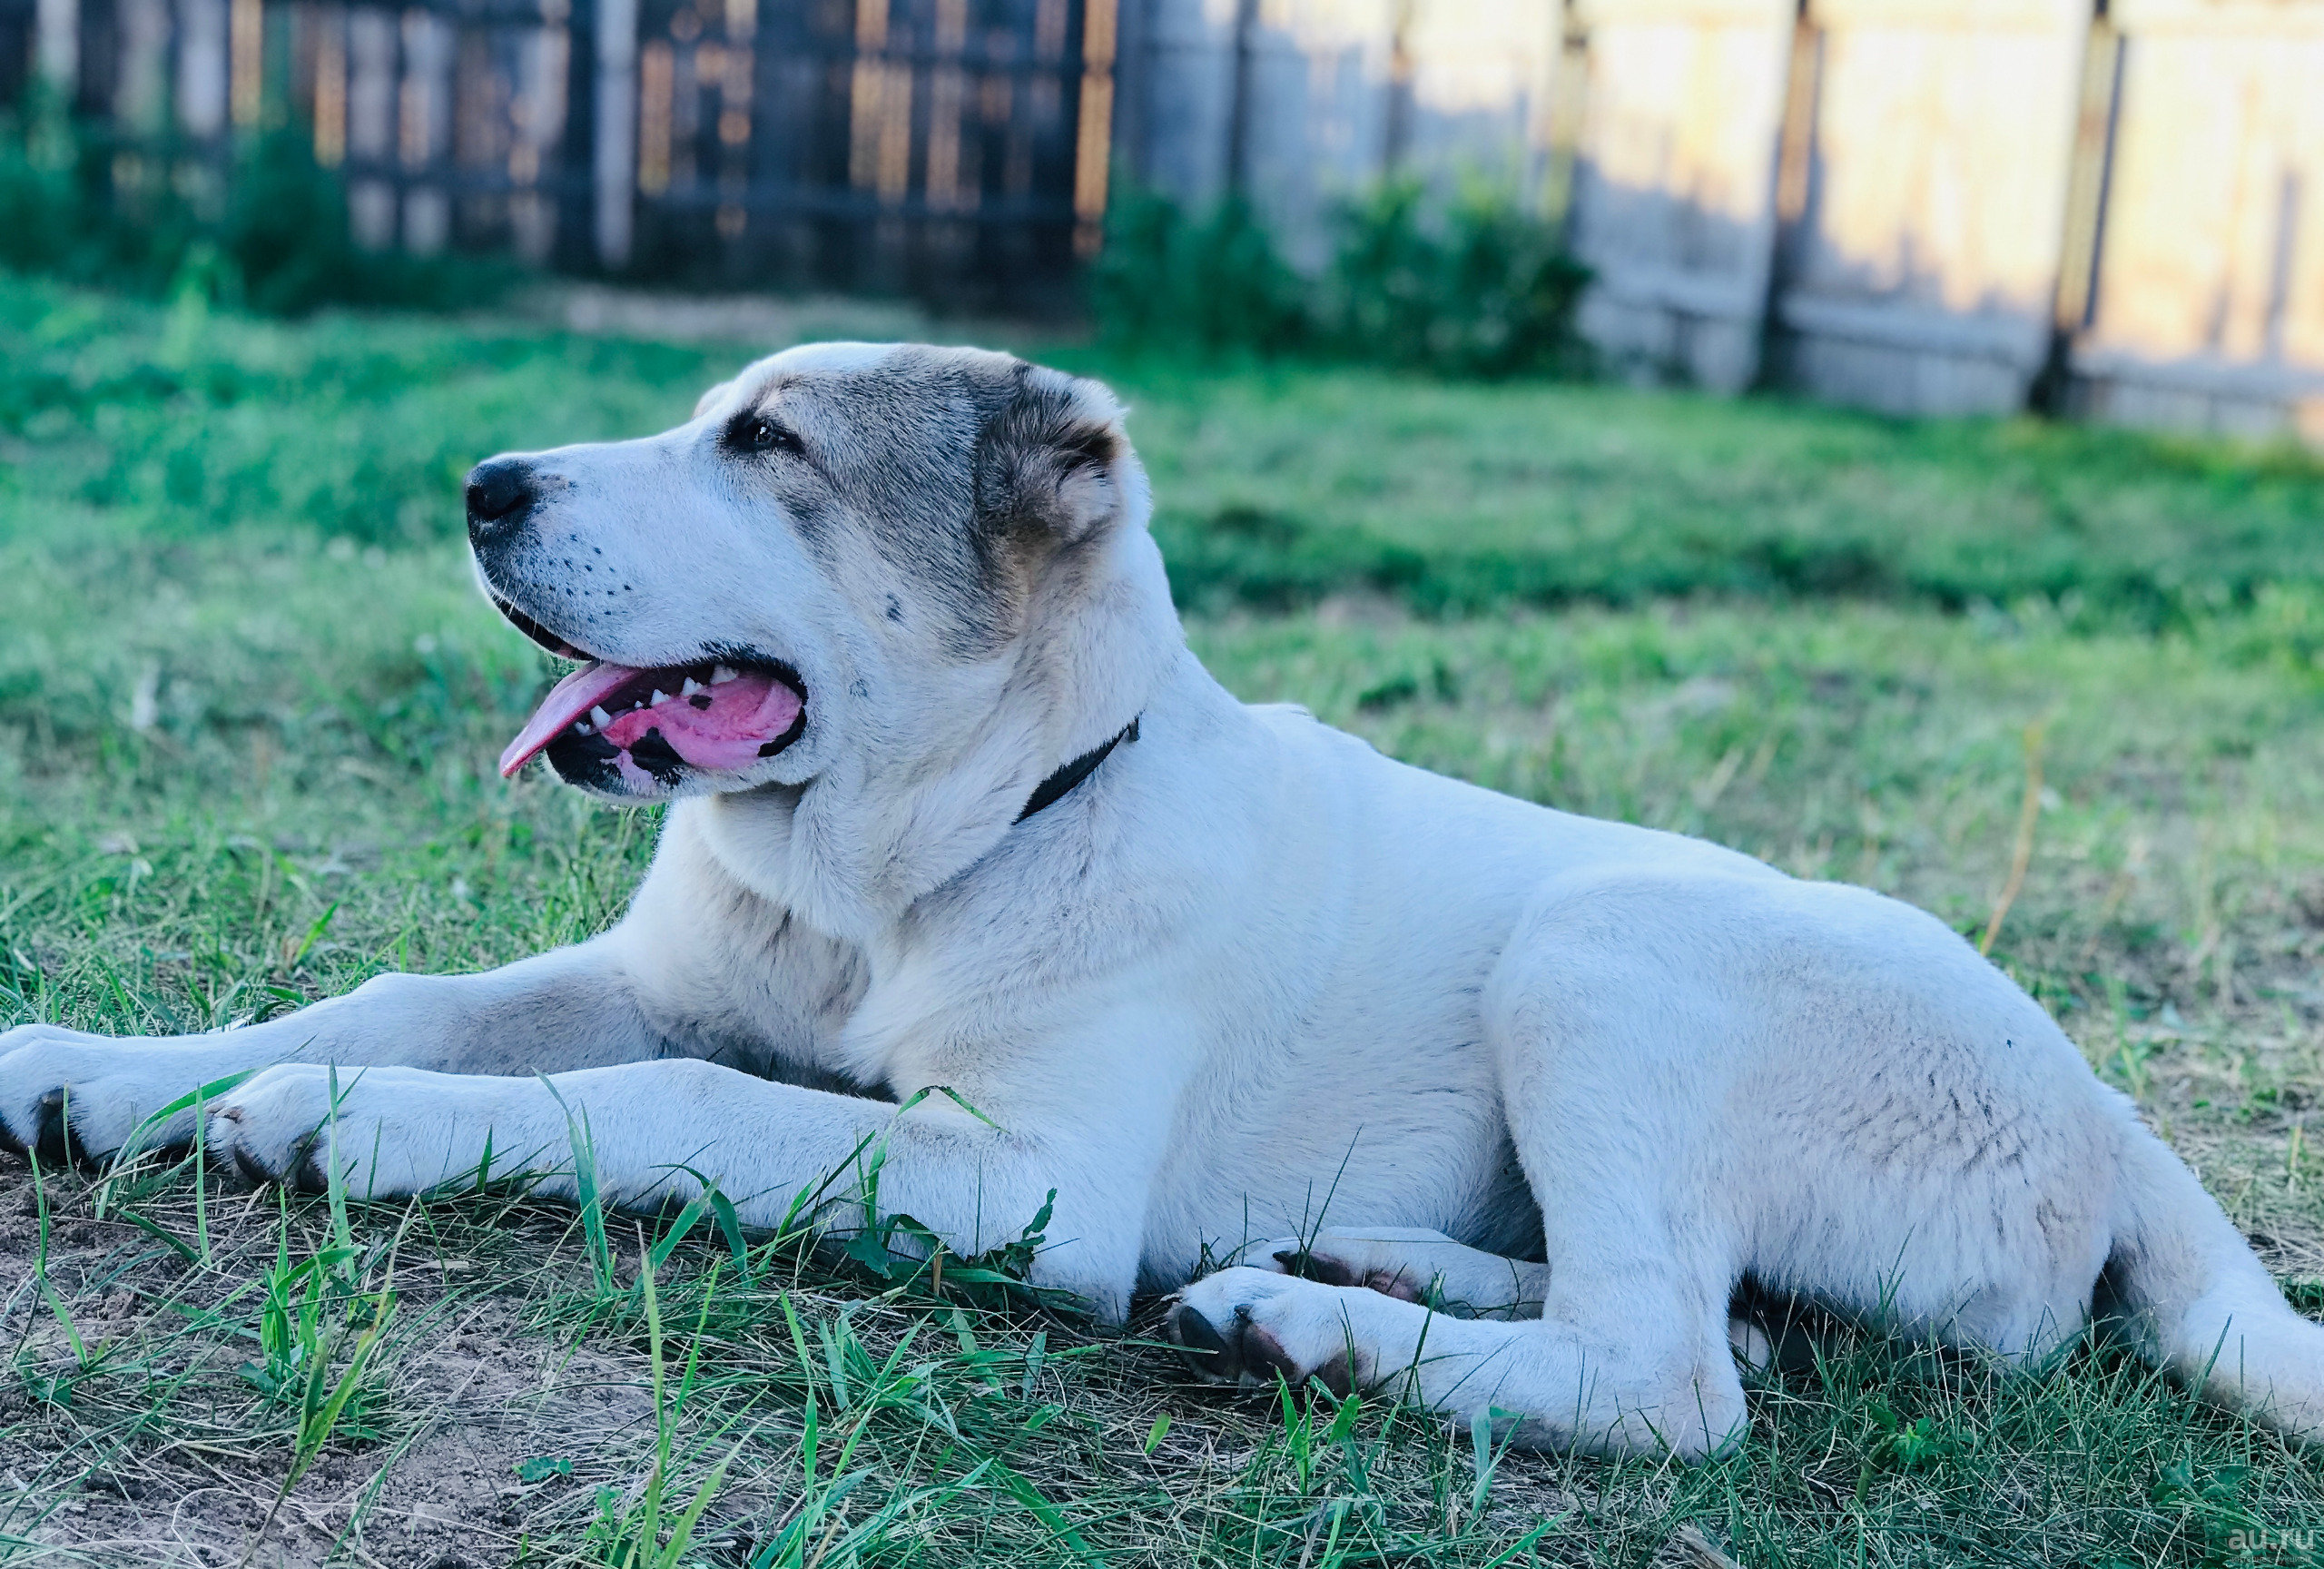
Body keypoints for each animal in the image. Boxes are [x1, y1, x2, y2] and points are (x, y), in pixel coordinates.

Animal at [5, 346, 2324, 1459]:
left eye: (768, 445)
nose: (480, 487)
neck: (924, 857)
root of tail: (2110, 1112)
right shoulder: (640, 973)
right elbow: (404, 991)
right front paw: (100, 1069)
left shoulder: (1014, 1173)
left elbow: (681, 1101)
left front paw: (354, 1127)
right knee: (1670, 1304)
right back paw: (1372, 1263)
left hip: (1609, 945)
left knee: (1670, 1372)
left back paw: (1314, 1324)